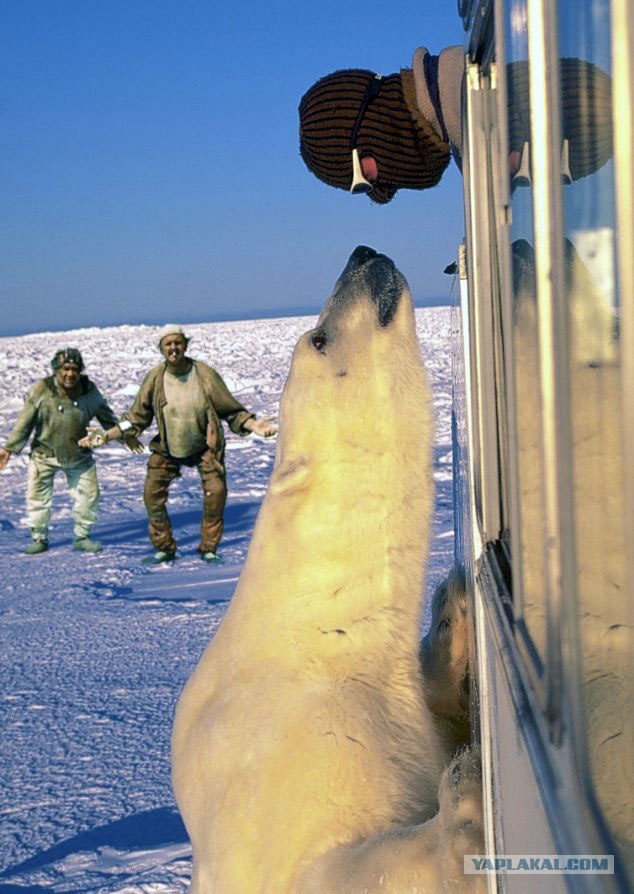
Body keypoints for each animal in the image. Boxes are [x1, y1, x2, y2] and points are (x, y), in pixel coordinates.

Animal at [170, 247, 482, 894]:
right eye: (318, 338)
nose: (364, 253)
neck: (322, 633)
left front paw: (454, 616)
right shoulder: (291, 758)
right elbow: (334, 865)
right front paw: (462, 808)